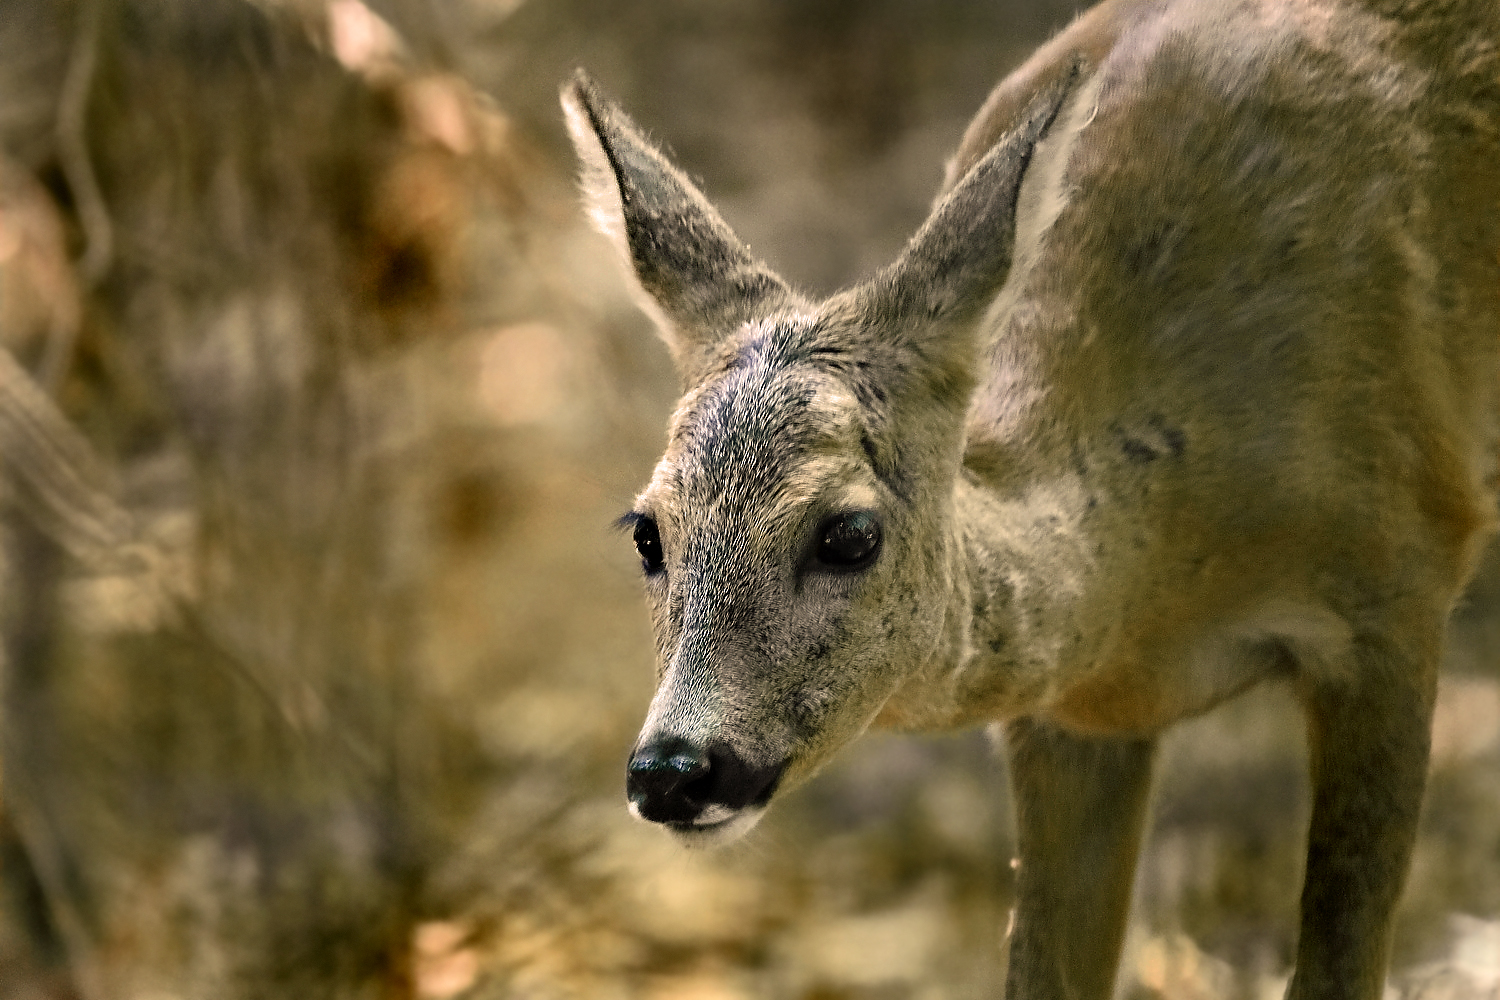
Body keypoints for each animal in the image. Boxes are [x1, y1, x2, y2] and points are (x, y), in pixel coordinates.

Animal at [561, 0, 1500, 995]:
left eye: (849, 534)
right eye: (647, 534)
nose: (674, 769)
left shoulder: (1399, 587)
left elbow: (1339, 965)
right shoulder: (1065, 722)